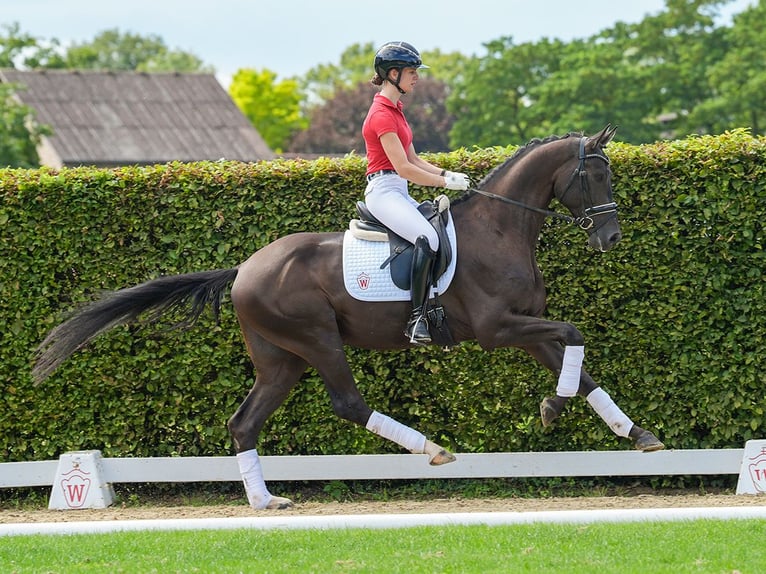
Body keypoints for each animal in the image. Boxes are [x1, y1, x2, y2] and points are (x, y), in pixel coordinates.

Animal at [31, 126, 664, 512]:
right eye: (596, 176)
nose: (610, 238)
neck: (501, 228)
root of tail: (244, 268)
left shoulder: (528, 327)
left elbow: (579, 366)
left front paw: (635, 434)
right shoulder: (497, 329)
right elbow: (575, 336)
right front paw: (554, 407)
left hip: (280, 359)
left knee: (244, 422)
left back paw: (265, 501)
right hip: (316, 340)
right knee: (347, 404)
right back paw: (431, 449)